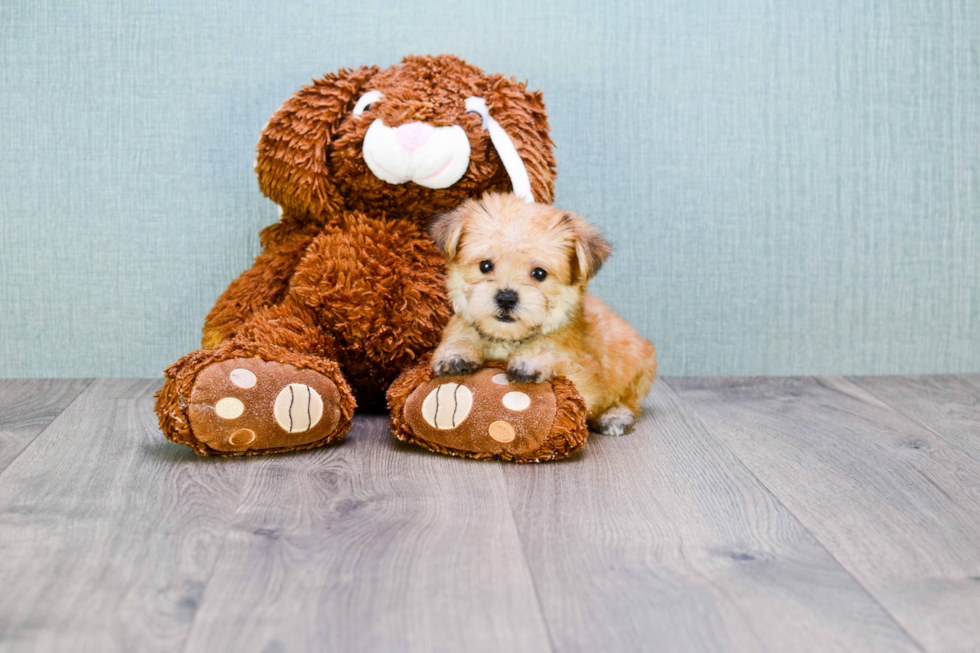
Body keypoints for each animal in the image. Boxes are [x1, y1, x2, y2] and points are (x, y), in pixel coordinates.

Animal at [428, 190, 660, 432]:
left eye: (539, 273)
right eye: (485, 266)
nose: (506, 298)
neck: (508, 340)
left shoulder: (585, 377)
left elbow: (556, 355)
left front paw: (532, 360)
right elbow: (460, 337)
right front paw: (456, 354)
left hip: (639, 368)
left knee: (629, 401)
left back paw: (615, 415)